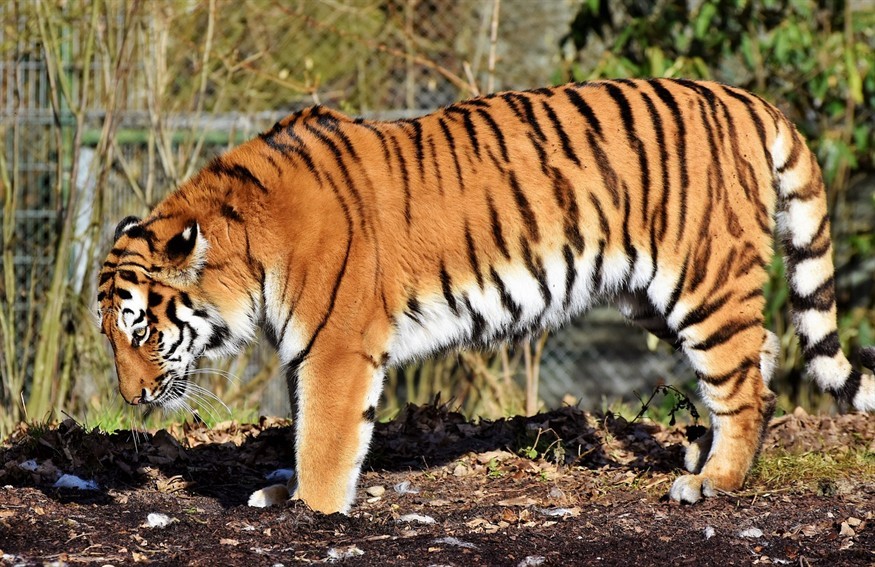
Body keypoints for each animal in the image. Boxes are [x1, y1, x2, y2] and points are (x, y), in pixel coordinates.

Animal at [97, 78, 875, 514]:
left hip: (701, 279)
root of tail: (746, 98)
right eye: (110, 335)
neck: (249, 251)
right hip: (651, 295)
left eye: (141, 331)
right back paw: (707, 460)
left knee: (743, 383)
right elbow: (302, 427)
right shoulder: (305, 351)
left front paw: (312, 511)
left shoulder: (336, 348)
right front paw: (282, 493)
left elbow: (323, 436)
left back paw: (713, 484)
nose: (131, 399)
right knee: (759, 353)